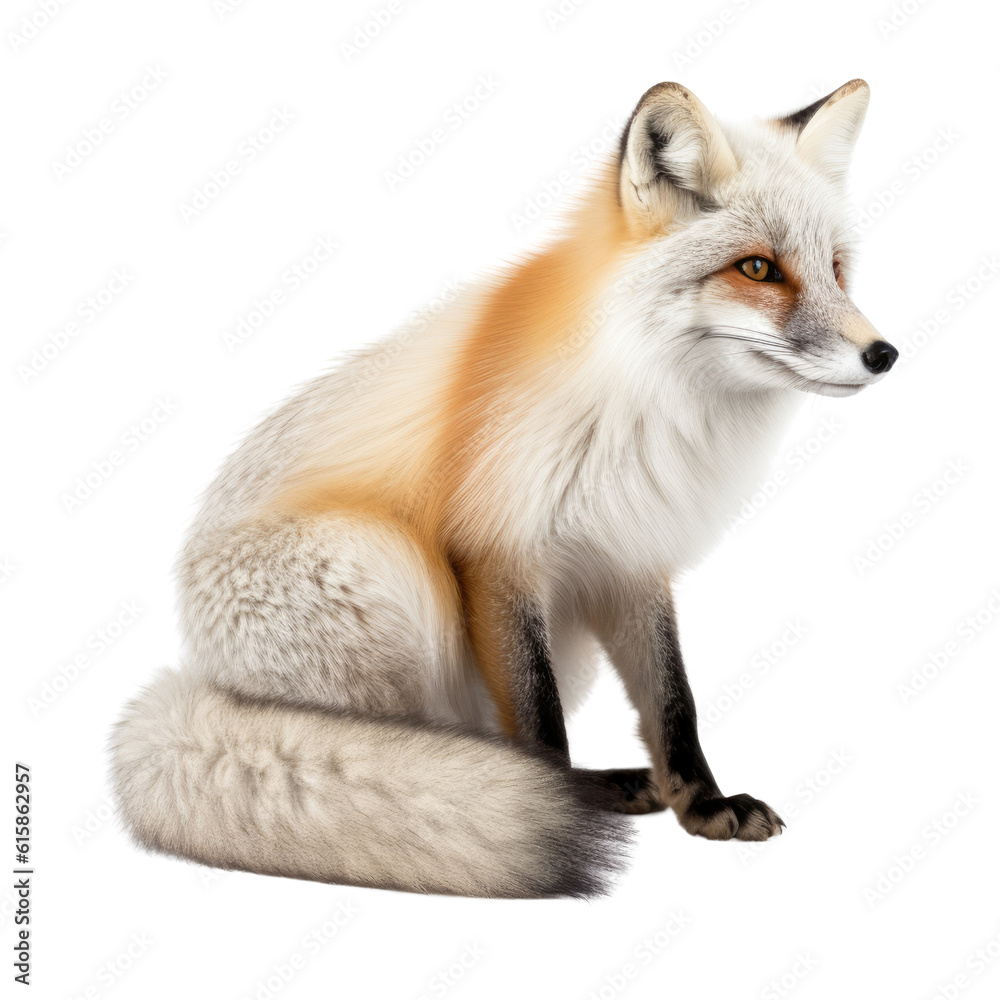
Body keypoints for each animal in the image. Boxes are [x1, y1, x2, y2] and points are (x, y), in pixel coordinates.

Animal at [111, 79, 898, 899]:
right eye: (758, 269)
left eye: (837, 269)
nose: (884, 354)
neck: (645, 408)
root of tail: (200, 679)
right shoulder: (496, 552)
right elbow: (539, 716)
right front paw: (552, 807)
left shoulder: (629, 558)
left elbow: (673, 703)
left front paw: (703, 805)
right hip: (381, 564)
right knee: (425, 743)